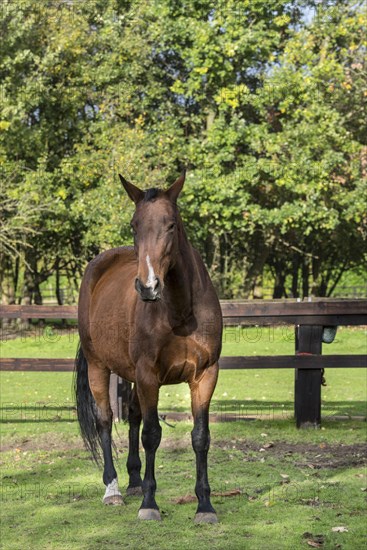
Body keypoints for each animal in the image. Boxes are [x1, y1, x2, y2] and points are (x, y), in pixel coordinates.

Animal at [75, 170, 221, 524]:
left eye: (171, 224)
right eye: (134, 225)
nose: (148, 286)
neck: (181, 311)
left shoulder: (205, 376)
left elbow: (200, 437)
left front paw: (205, 505)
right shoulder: (148, 375)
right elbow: (152, 435)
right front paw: (150, 505)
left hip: (131, 376)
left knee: (132, 417)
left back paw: (134, 482)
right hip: (100, 367)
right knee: (105, 420)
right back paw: (113, 489)